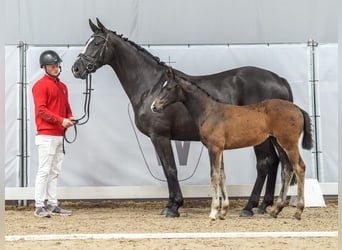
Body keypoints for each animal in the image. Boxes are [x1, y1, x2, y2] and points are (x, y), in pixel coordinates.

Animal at [71, 18, 292, 217]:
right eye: (88, 41)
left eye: (97, 43)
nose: (76, 69)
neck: (151, 86)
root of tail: (279, 79)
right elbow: (167, 169)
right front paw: (171, 204)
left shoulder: (160, 136)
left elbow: (170, 169)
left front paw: (173, 207)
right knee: (275, 161)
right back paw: (264, 206)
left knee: (264, 163)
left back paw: (249, 207)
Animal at [152, 73, 312, 221]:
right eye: (162, 86)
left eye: (169, 88)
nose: (154, 106)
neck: (209, 111)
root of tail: (297, 108)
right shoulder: (220, 149)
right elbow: (223, 176)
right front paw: (223, 212)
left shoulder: (214, 148)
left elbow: (215, 176)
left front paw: (213, 212)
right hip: (279, 142)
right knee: (287, 169)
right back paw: (275, 210)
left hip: (288, 143)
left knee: (299, 167)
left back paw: (297, 211)